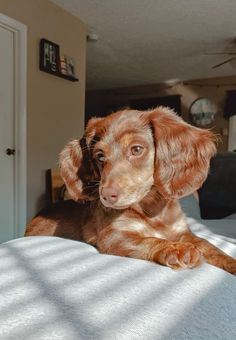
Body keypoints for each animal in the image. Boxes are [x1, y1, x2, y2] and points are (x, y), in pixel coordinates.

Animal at [25, 107, 236, 274]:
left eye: (136, 149)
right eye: (100, 156)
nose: (106, 196)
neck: (152, 210)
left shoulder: (183, 232)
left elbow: (210, 246)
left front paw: (231, 263)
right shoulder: (114, 236)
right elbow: (149, 240)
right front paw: (176, 249)